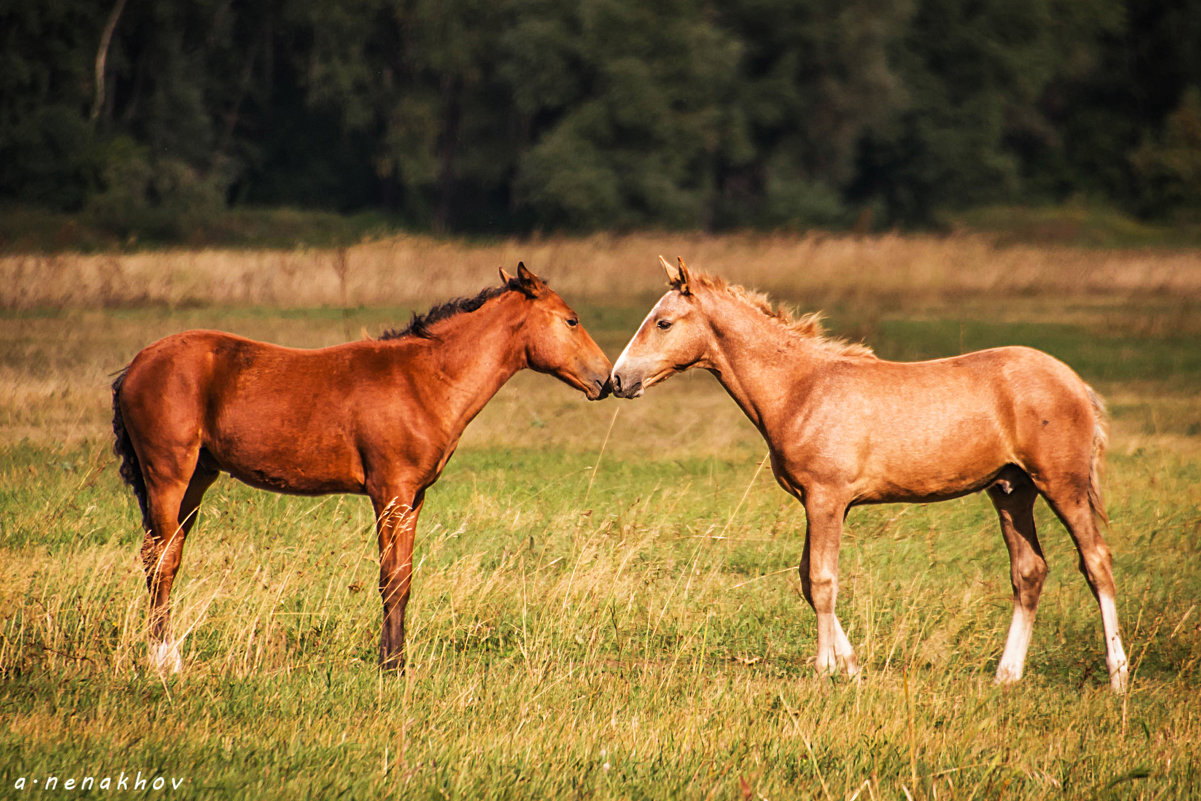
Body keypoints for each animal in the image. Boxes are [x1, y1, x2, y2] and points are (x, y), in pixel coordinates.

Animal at [112, 266, 610, 672]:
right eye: (572, 320)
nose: (607, 379)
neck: (423, 380)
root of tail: (135, 365)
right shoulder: (390, 492)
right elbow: (391, 579)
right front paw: (390, 667)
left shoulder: (413, 497)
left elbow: (404, 577)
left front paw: (398, 661)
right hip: (168, 476)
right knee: (162, 560)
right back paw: (164, 661)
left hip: (197, 479)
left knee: (164, 555)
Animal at [614, 260, 1128, 691]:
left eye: (663, 323)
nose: (617, 380)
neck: (802, 388)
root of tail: (1076, 383)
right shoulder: (818, 501)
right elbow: (808, 580)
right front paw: (852, 668)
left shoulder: (826, 498)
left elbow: (822, 581)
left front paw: (824, 670)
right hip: (1011, 490)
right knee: (1029, 572)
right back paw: (1007, 676)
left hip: (1061, 485)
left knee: (1096, 563)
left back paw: (1117, 676)